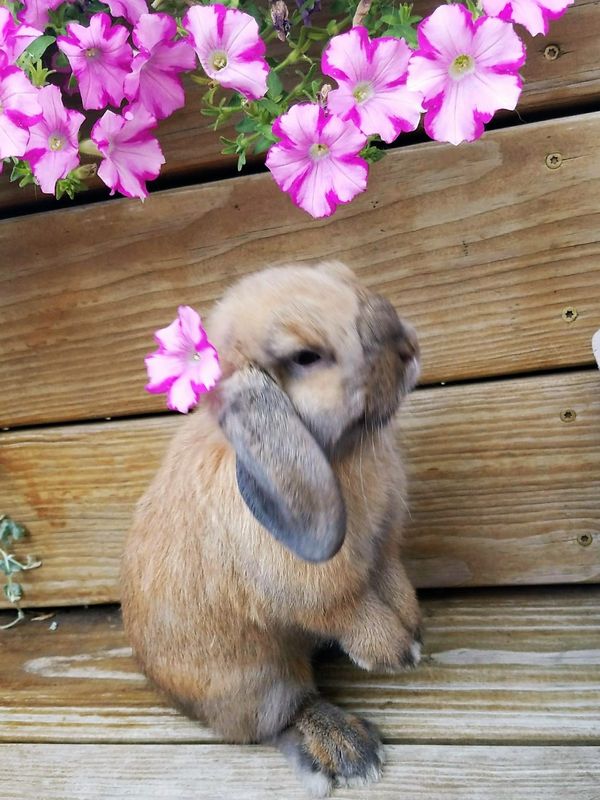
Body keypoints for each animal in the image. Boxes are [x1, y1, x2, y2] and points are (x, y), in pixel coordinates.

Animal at [121, 260, 422, 797]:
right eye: (306, 356)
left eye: (346, 277)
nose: (407, 346)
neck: (341, 453)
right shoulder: (323, 588)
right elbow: (351, 610)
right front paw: (394, 654)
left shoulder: (385, 550)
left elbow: (392, 581)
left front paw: (414, 629)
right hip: (261, 678)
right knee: (278, 718)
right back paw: (349, 750)